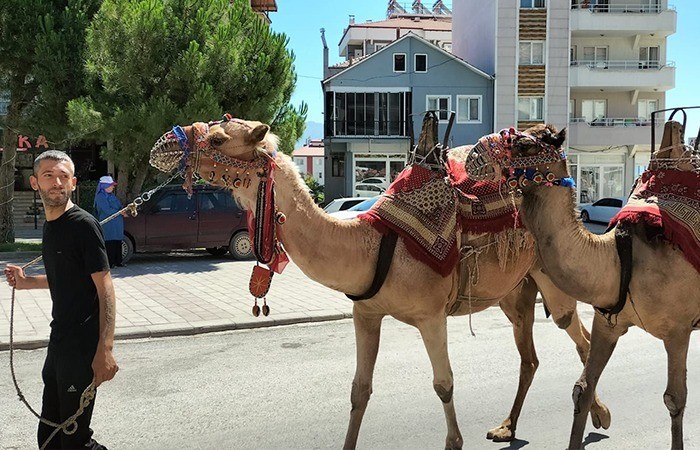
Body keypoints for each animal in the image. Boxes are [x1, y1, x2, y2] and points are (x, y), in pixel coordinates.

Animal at [148, 117, 608, 450]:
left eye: (219, 137)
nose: (163, 144)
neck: (369, 243)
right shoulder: (365, 312)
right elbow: (359, 391)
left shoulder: (430, 316)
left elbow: (444, 386)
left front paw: (454, 438)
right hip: (513, 293)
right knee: (530, 356)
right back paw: (506, 427)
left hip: (551, 278)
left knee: (578, 335)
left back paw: (600, 416)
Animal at [464, 123, 700, 450]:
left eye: (523, 143)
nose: (472, 156)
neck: (620, 258)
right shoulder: (608, 321)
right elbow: (582, 389)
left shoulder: (678, 330)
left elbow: (675, 399)